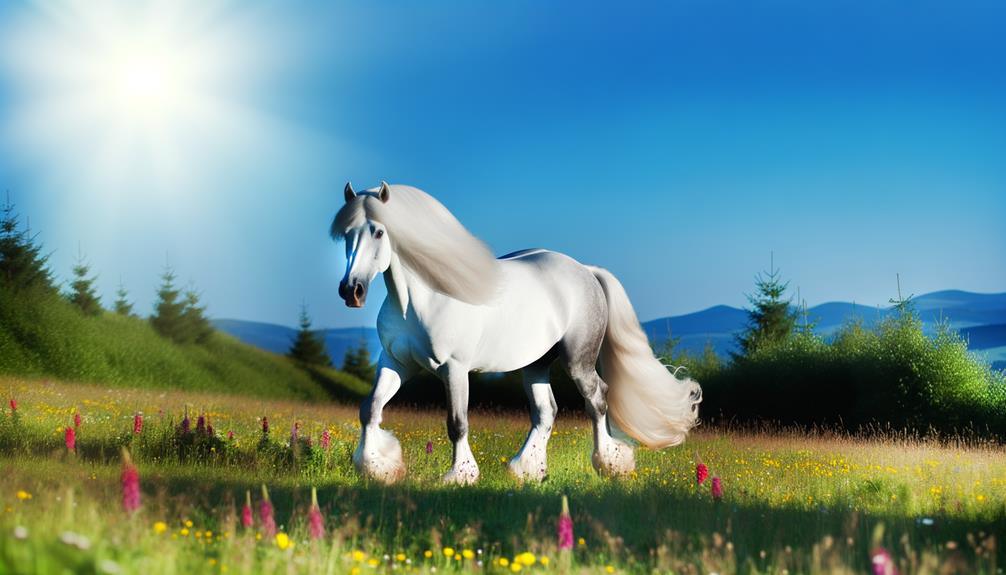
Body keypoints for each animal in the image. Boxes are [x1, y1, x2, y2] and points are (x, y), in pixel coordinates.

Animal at [331, 182, 702, 484]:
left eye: (379, 232)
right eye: (347, 234)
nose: (352, 291)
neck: (421, 300)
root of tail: (585, 270)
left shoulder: (454, 370)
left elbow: (457, 422)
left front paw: (461, 475)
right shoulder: (395, 363)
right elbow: (370, 409)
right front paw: (377, 467)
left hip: (578, 361)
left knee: (597, 400)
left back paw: (610, 464)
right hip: (535, 365)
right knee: (546, 411)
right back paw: (527, 470)